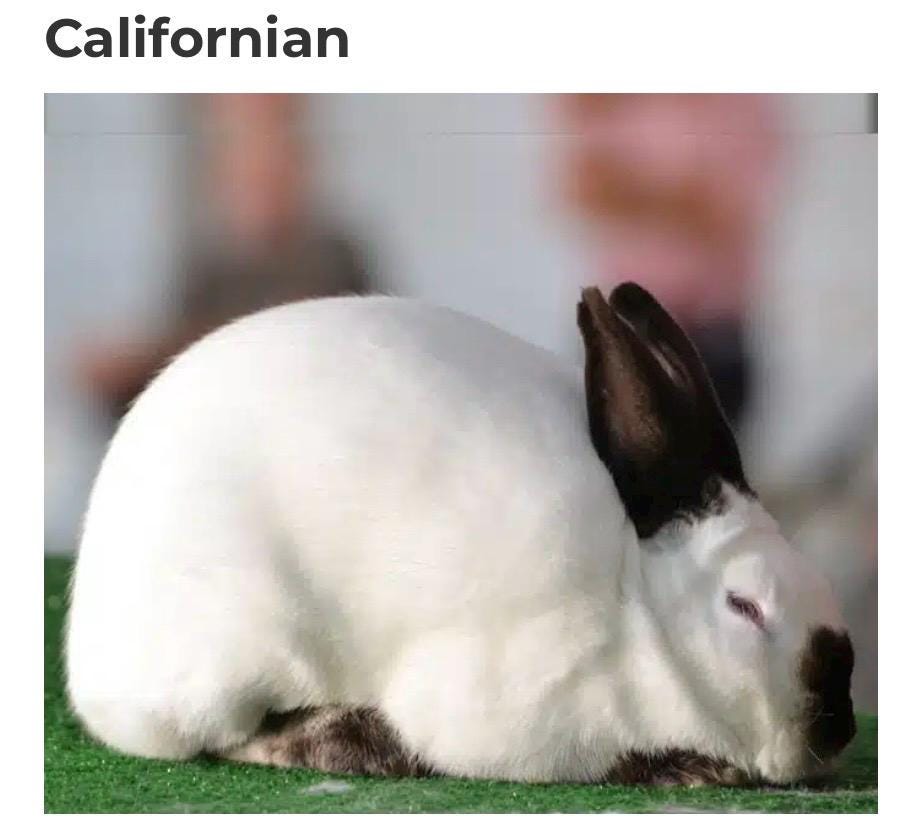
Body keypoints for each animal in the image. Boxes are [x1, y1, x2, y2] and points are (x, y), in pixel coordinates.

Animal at [65, 282, 856, 786]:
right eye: (744, 607)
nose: (839, 725)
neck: (639, 608)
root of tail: (88, 660)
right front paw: (691, 769)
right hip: (237, 651)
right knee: (226, 739)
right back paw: (359, 744)